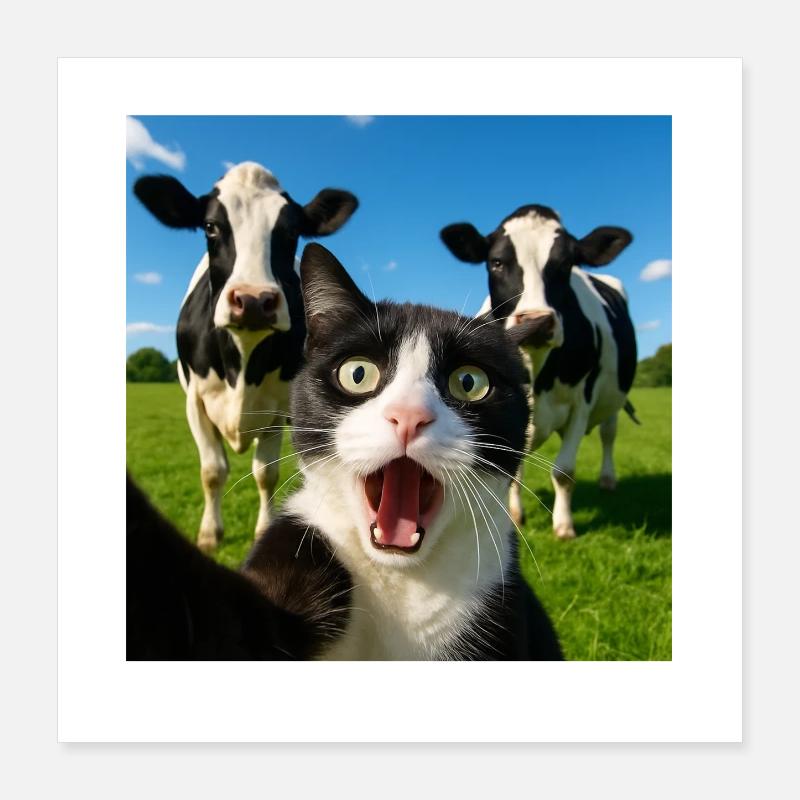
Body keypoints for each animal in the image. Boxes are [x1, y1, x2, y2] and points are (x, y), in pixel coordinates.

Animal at [133, 162, 359, 552]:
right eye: (211, 226)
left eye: (292, 231)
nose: (254, 300)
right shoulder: (195, 401)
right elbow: (212, 471)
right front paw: (210, 535)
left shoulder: (279, 408)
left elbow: (266, 473)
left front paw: (263, 529)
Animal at [440, 204, 638, 540]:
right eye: (496, 262)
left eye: (567, 263)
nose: (537, 320)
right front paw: (515, 515)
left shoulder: (581, 403)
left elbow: (564, 471)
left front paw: (564, 526)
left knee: (609, 434)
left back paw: (608, 479)